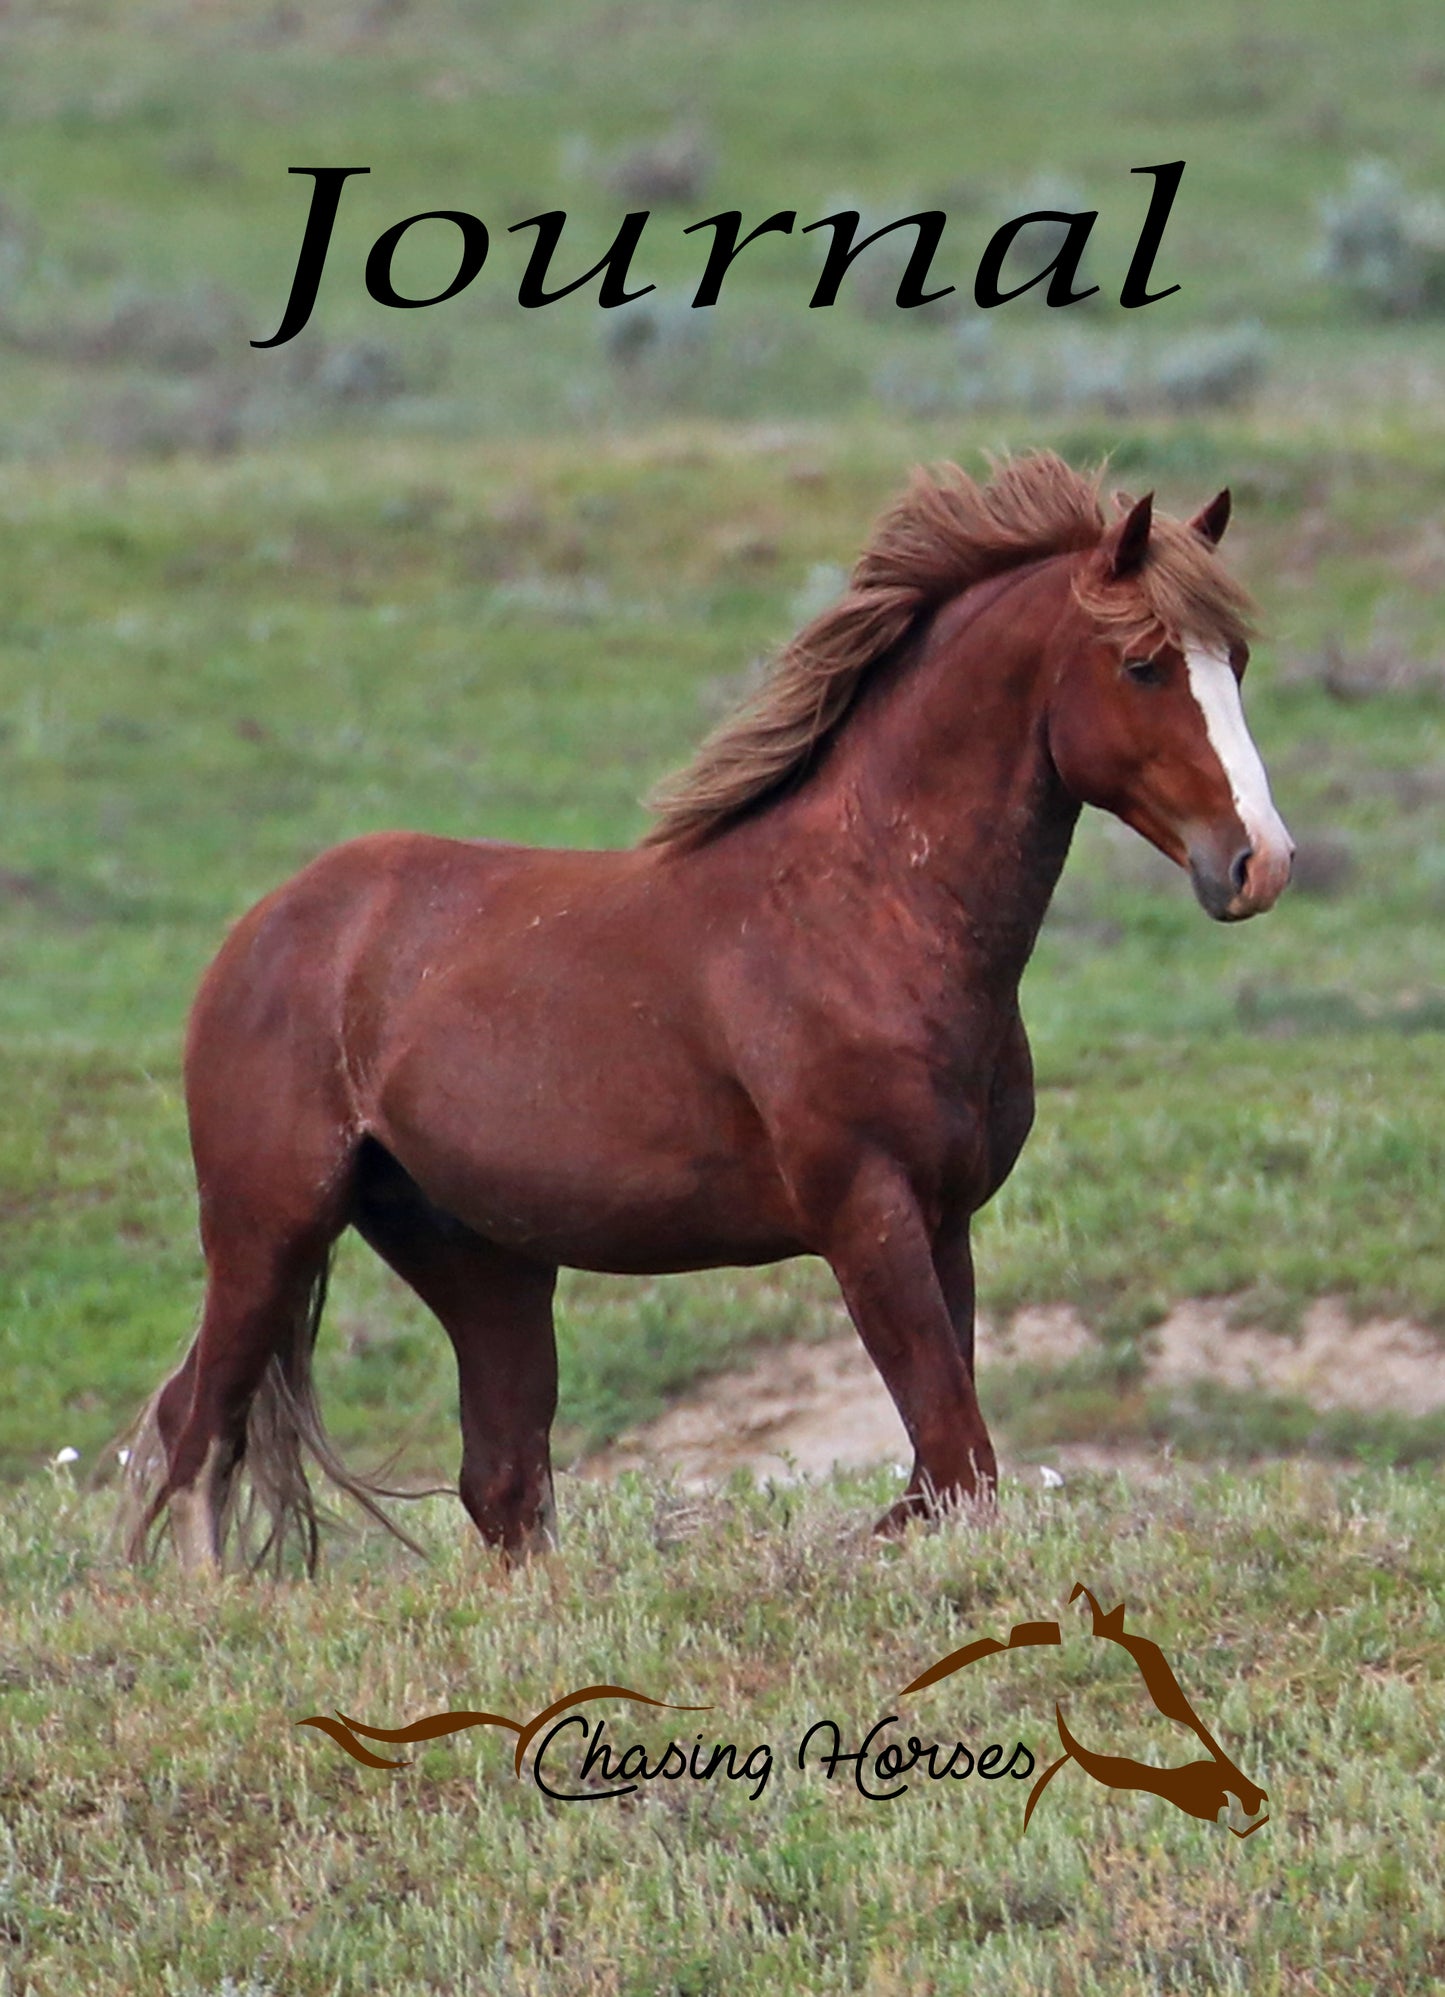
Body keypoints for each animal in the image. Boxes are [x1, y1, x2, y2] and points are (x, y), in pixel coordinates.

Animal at [123, 452, 1293, 1575]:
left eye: (1232, 661)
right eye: (1141, 662)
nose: (1259, 862)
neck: (865, 910)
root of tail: (265, 929)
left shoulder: (942, 1218)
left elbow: (939, 1469)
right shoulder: (866, 1214)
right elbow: (957, 1460)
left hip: (481, 1259)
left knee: (497, 1480)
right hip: (269, 1225)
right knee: (197, 1434)